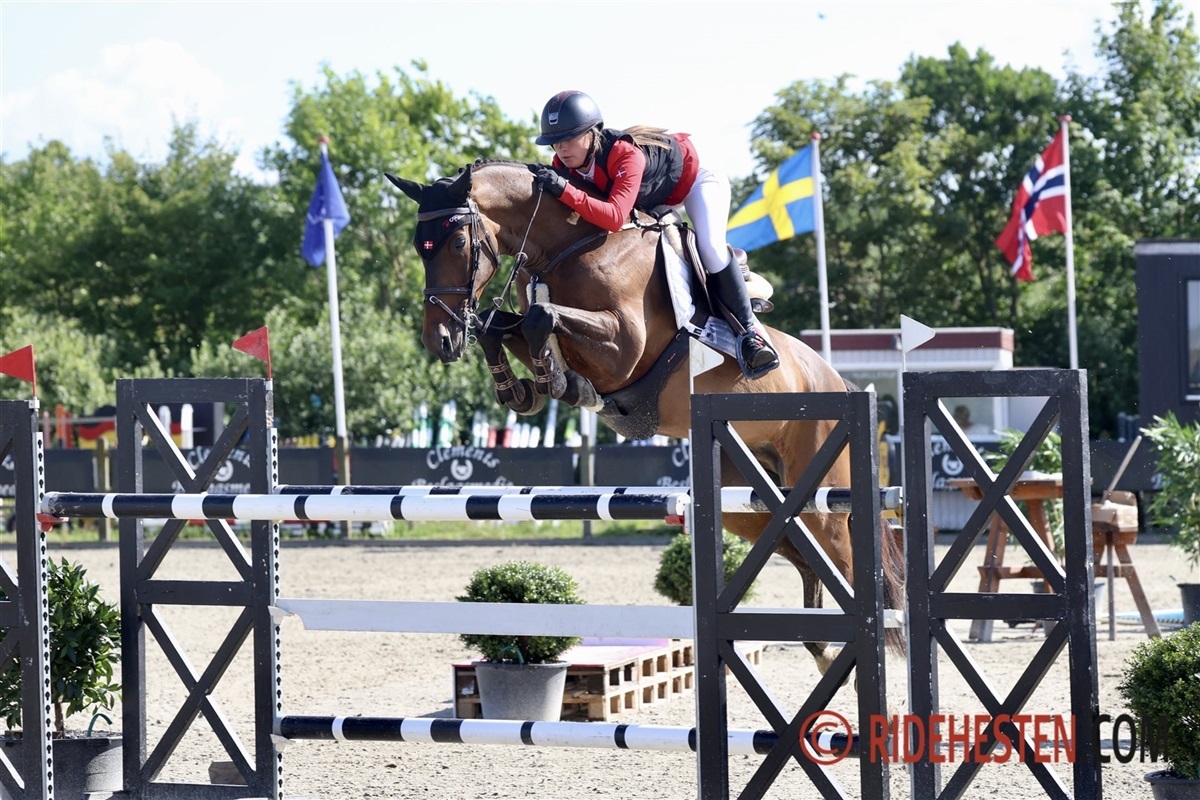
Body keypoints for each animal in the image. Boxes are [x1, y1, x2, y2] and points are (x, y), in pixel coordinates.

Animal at [385, 160, 904, 670]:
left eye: (457, 242)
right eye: (418, 248)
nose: (440, 341)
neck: (568, 248)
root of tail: (839, 381)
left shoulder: (624, 347)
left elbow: (541, 319)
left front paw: (557, 379)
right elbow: (504, 327)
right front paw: (523, 388)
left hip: (822, 498)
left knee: (846, 563)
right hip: (753, 504)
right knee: (808, 559)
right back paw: (822, 648)